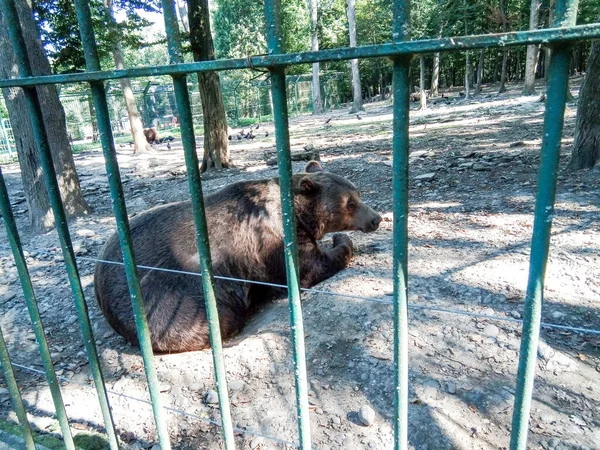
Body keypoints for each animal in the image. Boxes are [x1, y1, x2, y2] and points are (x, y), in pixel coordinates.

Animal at [95, 160, 382, 354]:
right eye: (349, 204)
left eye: (357, 193)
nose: (376, 218)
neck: (297, 216)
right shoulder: (270, 241)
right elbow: (307, 268)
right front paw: (341, 241)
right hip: (165, 296)